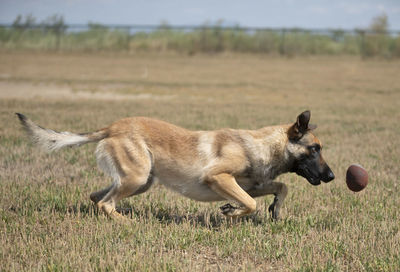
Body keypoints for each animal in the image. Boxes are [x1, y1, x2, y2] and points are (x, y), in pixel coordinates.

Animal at [15, 109, 334, 220]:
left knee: (98, 198)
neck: (260, 145)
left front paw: (275, 209)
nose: (332, 176)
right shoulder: (218, 178)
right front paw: (232, 212)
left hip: (140, 181)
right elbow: (251, 203)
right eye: (314, 149)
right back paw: (129, 223)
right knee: (106, 203)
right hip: (137, 177)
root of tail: (111, 127)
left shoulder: (250, 184)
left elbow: (279, 188)